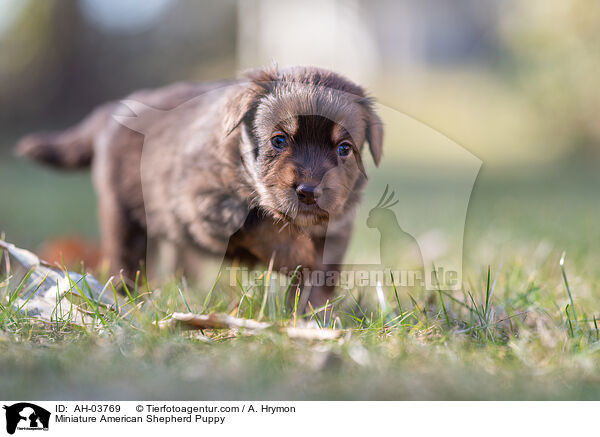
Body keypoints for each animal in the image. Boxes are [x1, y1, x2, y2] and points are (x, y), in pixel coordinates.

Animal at [18, 66, 386, 308]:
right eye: (279, 140)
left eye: (344, 149)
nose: (310, 191)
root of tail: (112, 112)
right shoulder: (208, 206)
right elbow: (269, 231)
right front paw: (301, 260)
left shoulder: (336, 228)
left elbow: (322, 274)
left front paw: (314, 315)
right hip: (121, 211)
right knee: (125, 258)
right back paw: (128, 298)